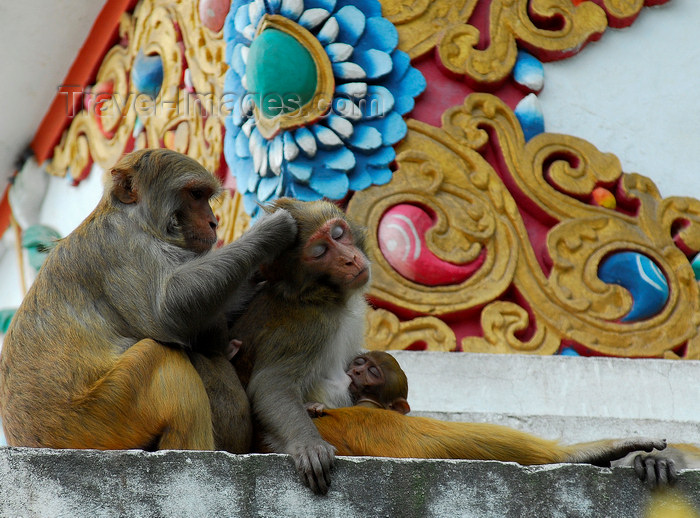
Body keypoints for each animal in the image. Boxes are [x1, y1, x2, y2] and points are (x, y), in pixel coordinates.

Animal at [0, 150, 296, 456]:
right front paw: (270, 231)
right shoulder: (121, 244)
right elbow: (166, 311)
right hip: (97, 419)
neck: (133, 218)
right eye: (196, 194)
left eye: (205, 197)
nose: (213, 222)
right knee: (164, 357)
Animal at [231, 198, 372, 496]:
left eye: (338, 234)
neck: (320, 296)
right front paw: (309, 444)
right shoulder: (307, 327)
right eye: (319, 251)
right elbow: (271, 384)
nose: (349, 259)